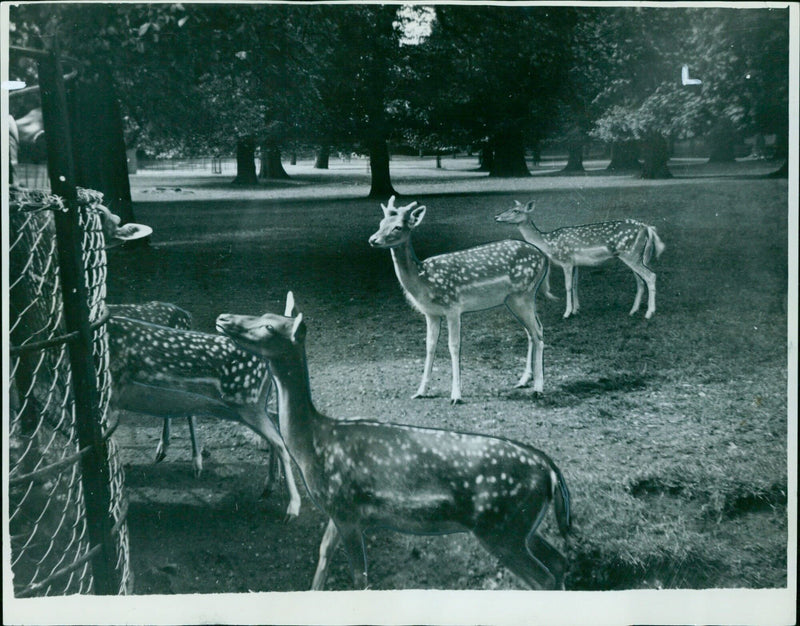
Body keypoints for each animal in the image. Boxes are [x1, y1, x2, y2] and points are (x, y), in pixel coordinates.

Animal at [108, 304, 302, 516]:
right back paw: (269, 486)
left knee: (280, 440)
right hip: (251, 404)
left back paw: (291, 506)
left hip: (247, 403)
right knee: (276, 429)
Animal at [216, 290, 572, 588]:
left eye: (268, 326)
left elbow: (360, 576)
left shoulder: (345, 506)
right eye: (264, 313)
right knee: (559, 563)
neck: (314, 444)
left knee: (544, 577)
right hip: (521, 527)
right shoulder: (337, 512)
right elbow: (323, 558)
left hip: (500, 526)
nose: (223, 317)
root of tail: (551, 471)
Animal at [370, 194, 552, 404]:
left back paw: (538, 388)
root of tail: (544, 257)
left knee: (538, 332)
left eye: (398, 227)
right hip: (514, 300)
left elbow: (454, 346)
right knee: (532, 331)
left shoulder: (453, 307)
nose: (372, 240)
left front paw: (456, 395)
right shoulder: (430, 313)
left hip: (524, 294)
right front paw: (420, 391)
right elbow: (429, 346)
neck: (424, 282)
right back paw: (524, 380)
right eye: (381, 223)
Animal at [496, 200, 664, 316]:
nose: (497, 216)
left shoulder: (566, 260)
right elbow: (576, 285)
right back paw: (633, 311)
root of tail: (646, 228)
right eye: (507, 208)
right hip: (638, 255)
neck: (548, 243)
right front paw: (576, 309)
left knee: (651, 276)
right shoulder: (576, 263)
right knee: (640, 281)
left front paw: (567, 313)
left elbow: (568, 286)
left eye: (516, 210)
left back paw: (649, 313)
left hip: (631, 254)